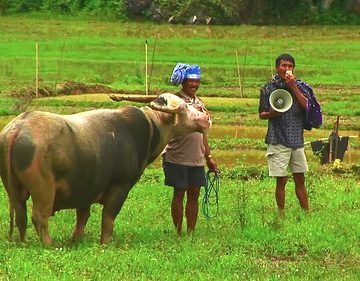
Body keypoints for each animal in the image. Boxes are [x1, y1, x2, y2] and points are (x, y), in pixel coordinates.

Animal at [0, 93, 211, 244]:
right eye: (184, 106)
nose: (206, 117)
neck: (150, 129)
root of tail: (17, 127)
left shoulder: (86, 189)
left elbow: (82, 217)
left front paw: (76, 240)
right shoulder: (119, 189)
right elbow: (108, 218)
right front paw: (105, 242)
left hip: (14, 189)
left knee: (20, 215)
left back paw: (25, 242)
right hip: (43, 190)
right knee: (39, 217)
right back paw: (49, 244)